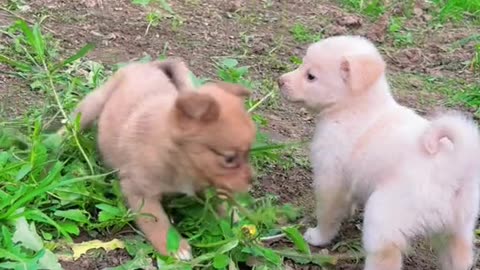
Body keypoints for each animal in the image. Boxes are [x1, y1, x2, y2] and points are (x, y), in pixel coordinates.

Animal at [70, 59, 255, 260]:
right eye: (229, 159)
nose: (252, 181)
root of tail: (149, 65)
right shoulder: (140, 192)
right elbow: (158, 222)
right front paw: (175, 248)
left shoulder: (208, 184)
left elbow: (220, 201)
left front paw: (235, 220)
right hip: (93, 104)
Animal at [278, 35, 480, 270]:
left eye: (311, 76)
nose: (280, 81)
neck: (355, 107)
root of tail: (455, 165)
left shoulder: (330, 177)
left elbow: (328, 213)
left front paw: (318, 237)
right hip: (460, 227)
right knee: (459, 255)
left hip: (383, 215)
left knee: (386, 256)